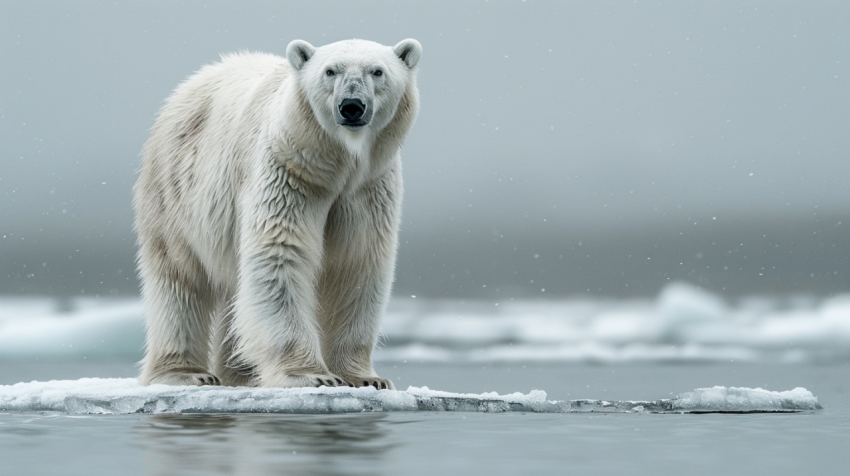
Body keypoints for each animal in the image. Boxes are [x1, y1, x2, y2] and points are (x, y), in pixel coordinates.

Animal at [135, 39, 420, 388]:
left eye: (377, 71)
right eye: (330, 71)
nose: (351, 106)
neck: (337, 164)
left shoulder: (368, 188)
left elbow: (356, 263)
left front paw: (365, 378)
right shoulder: (289, 171)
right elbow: (280, 252)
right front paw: (311, 375)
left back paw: (240, 373)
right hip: (175, 189)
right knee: (179, 275)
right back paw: (187, 373)